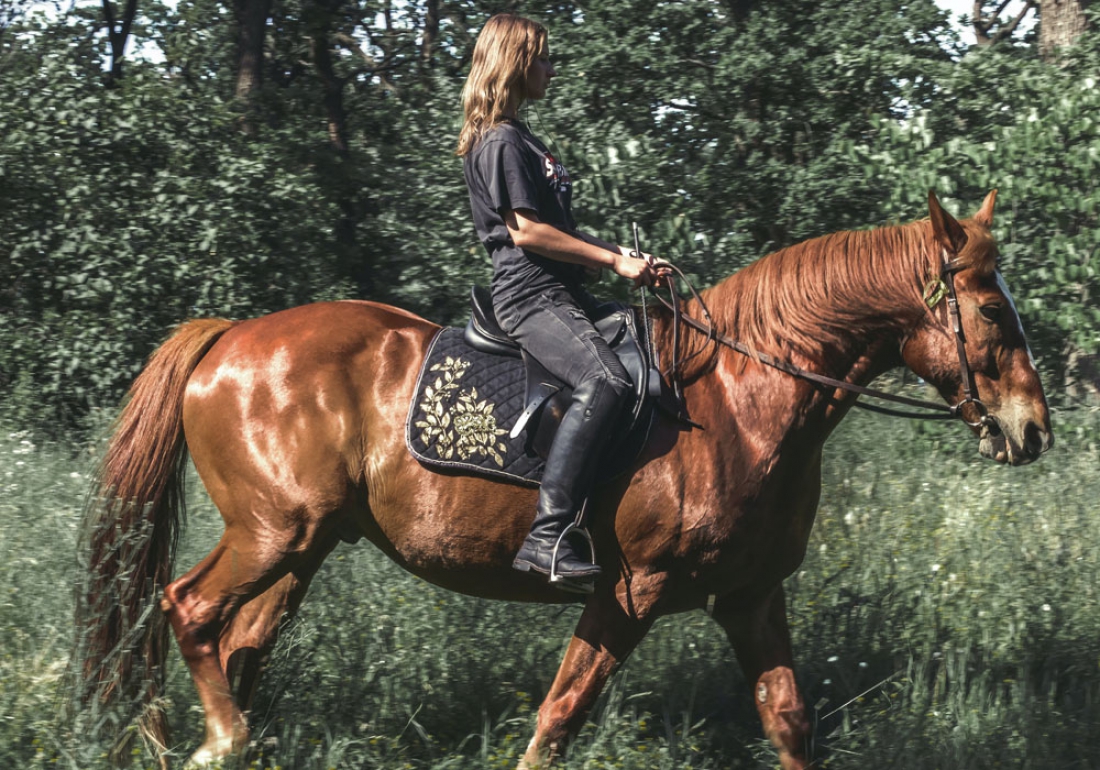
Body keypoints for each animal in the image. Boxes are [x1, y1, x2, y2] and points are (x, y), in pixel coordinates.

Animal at [76, 191, 1052, 769]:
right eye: (991, 309)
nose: (1032, 430)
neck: (742, 401)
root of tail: (229, 338)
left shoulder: (751, 594)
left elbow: (789, 721)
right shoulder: (631, 590)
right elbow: (561, 713)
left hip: (306, 544)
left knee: (238, 640)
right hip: (275, 530)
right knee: (187, 610)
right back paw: (213, 743)